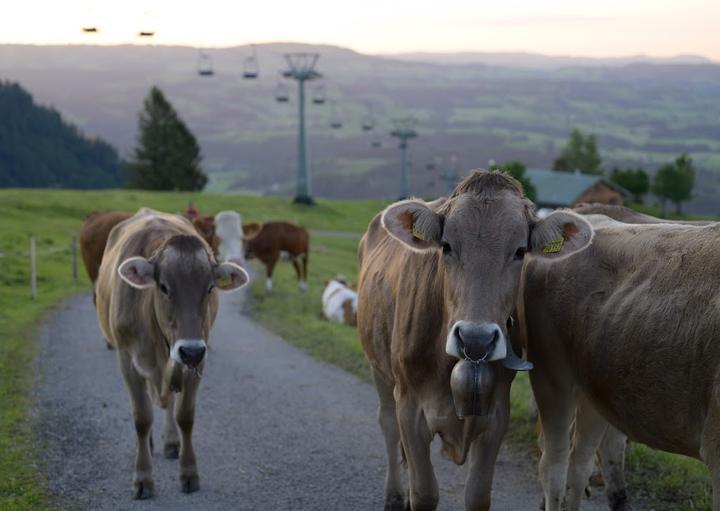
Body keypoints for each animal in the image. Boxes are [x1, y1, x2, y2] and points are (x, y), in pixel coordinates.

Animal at [95, 208, 249, 500]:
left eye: (210, 288)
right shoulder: (127, 359)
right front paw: (142, 478)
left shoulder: (198, 359)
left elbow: (185, 416)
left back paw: (171, 442)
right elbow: (141, 417)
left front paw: (189, 473)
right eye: (164, 287)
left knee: (170, 403)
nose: (190, 349)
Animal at [358, 170, 592, 510]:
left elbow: (478, 495)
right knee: (388, 427)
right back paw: (393, 495)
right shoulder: (410, 407)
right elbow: (424, 492)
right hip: (379, 369)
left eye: (520, 251)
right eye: (445, 245)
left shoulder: (496, 417)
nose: (475, 338)